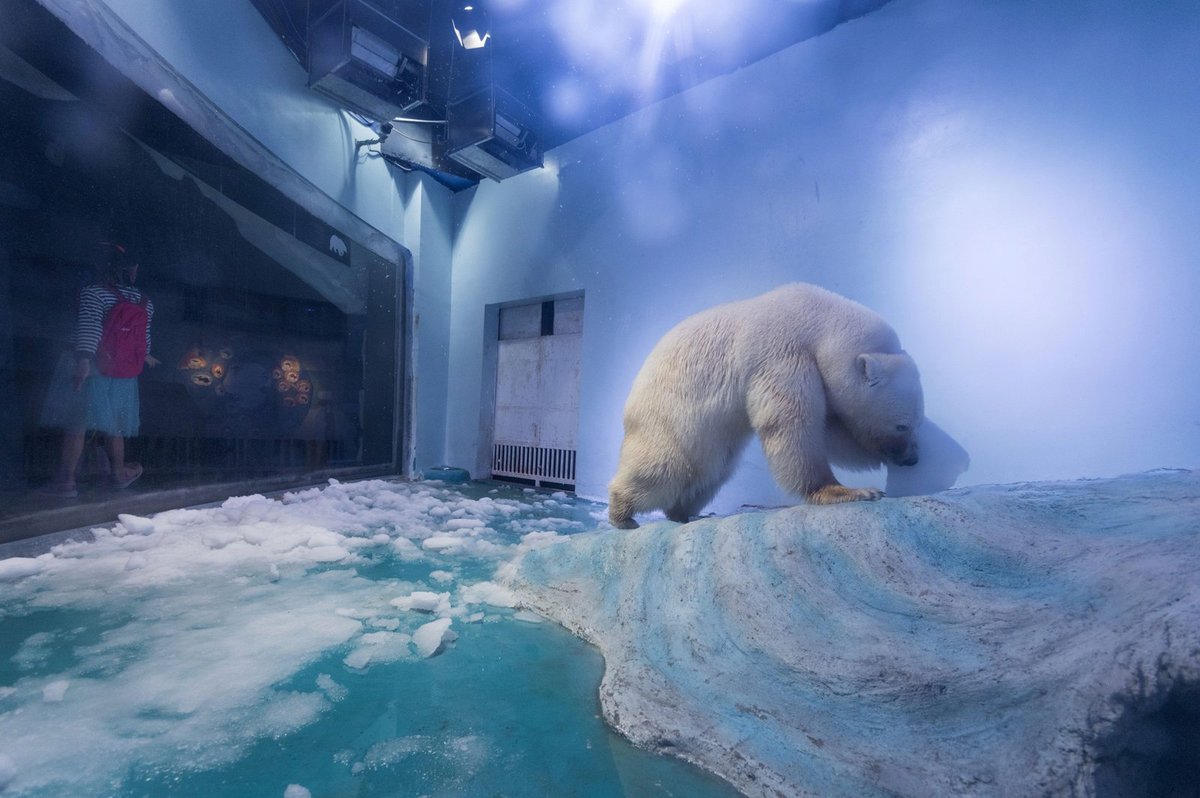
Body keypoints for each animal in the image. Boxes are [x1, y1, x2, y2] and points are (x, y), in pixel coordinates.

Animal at [609, 282, 926, 528]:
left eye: (917, 424)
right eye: (902, 425)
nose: (912, 459)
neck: (818, 321)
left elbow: (830, 429)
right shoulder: (783, 355)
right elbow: (793, 425)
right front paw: (852, 491)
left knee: (710, 471)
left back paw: (685, 514)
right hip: (669, 416)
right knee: (667, 466)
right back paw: (623, 513)